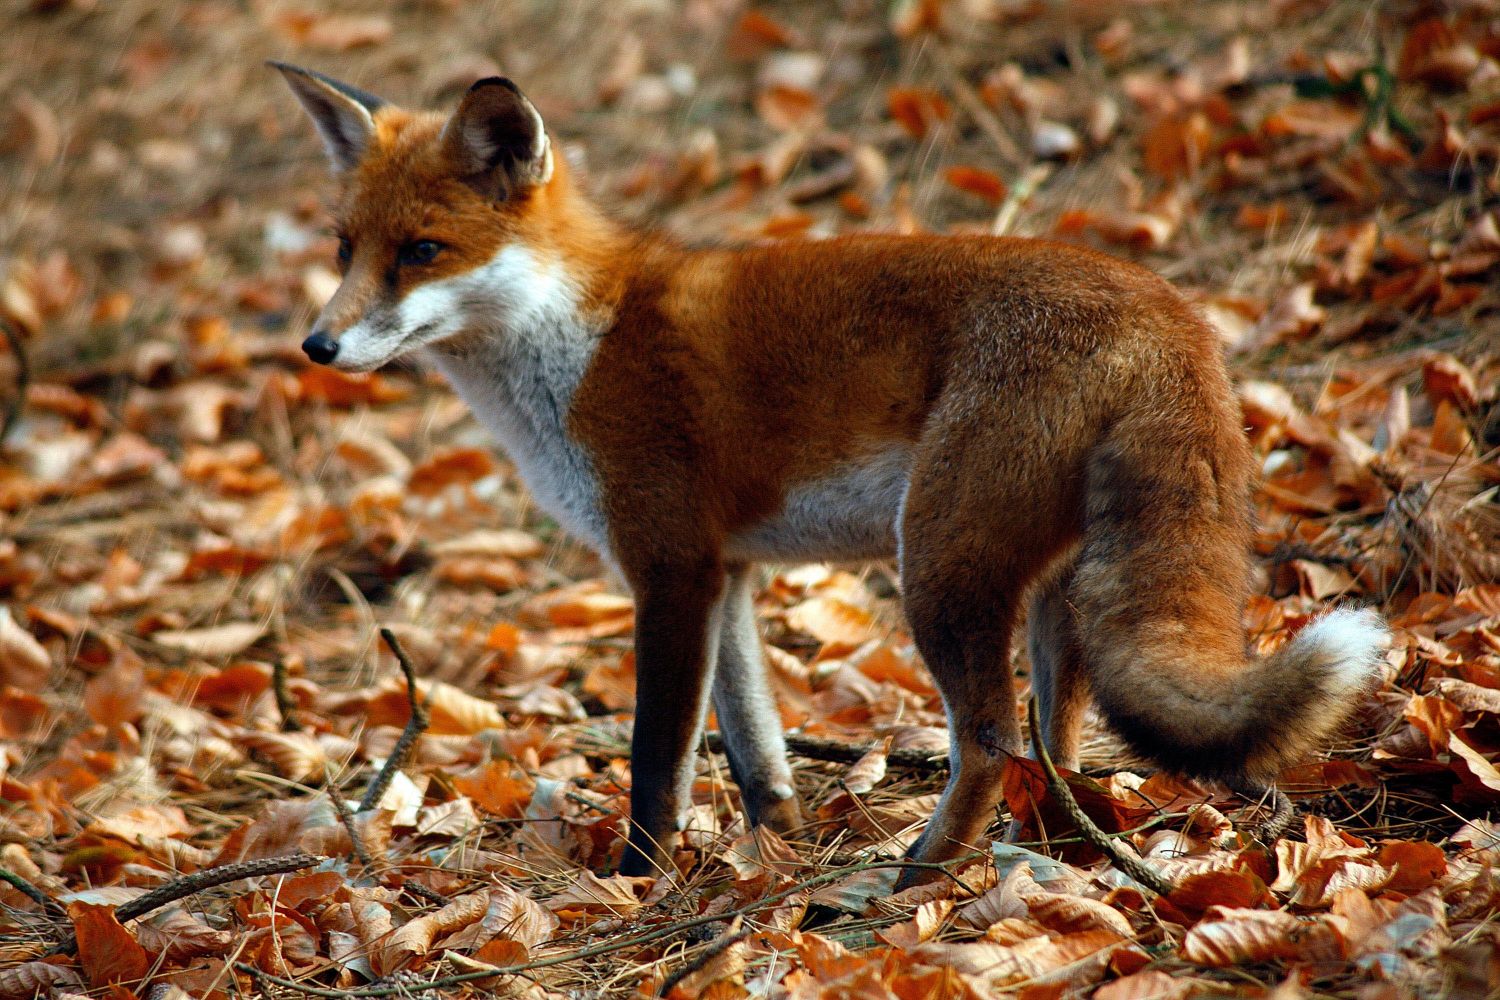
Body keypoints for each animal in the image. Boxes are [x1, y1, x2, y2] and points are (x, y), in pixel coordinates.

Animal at [273, 64, 1392, 881]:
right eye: (344, 247)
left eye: (422, 250)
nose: (317, 345)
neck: (575, 342)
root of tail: (1171, 312)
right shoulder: (727, 572)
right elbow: (756, 744)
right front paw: (781, 846)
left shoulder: (668, 566)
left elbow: (657, 760)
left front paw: (639, 880)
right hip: (1055, 588)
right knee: (1056, 748)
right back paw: (1045, 854)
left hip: (936, 564)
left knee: (990, 740)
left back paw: (921, 875)